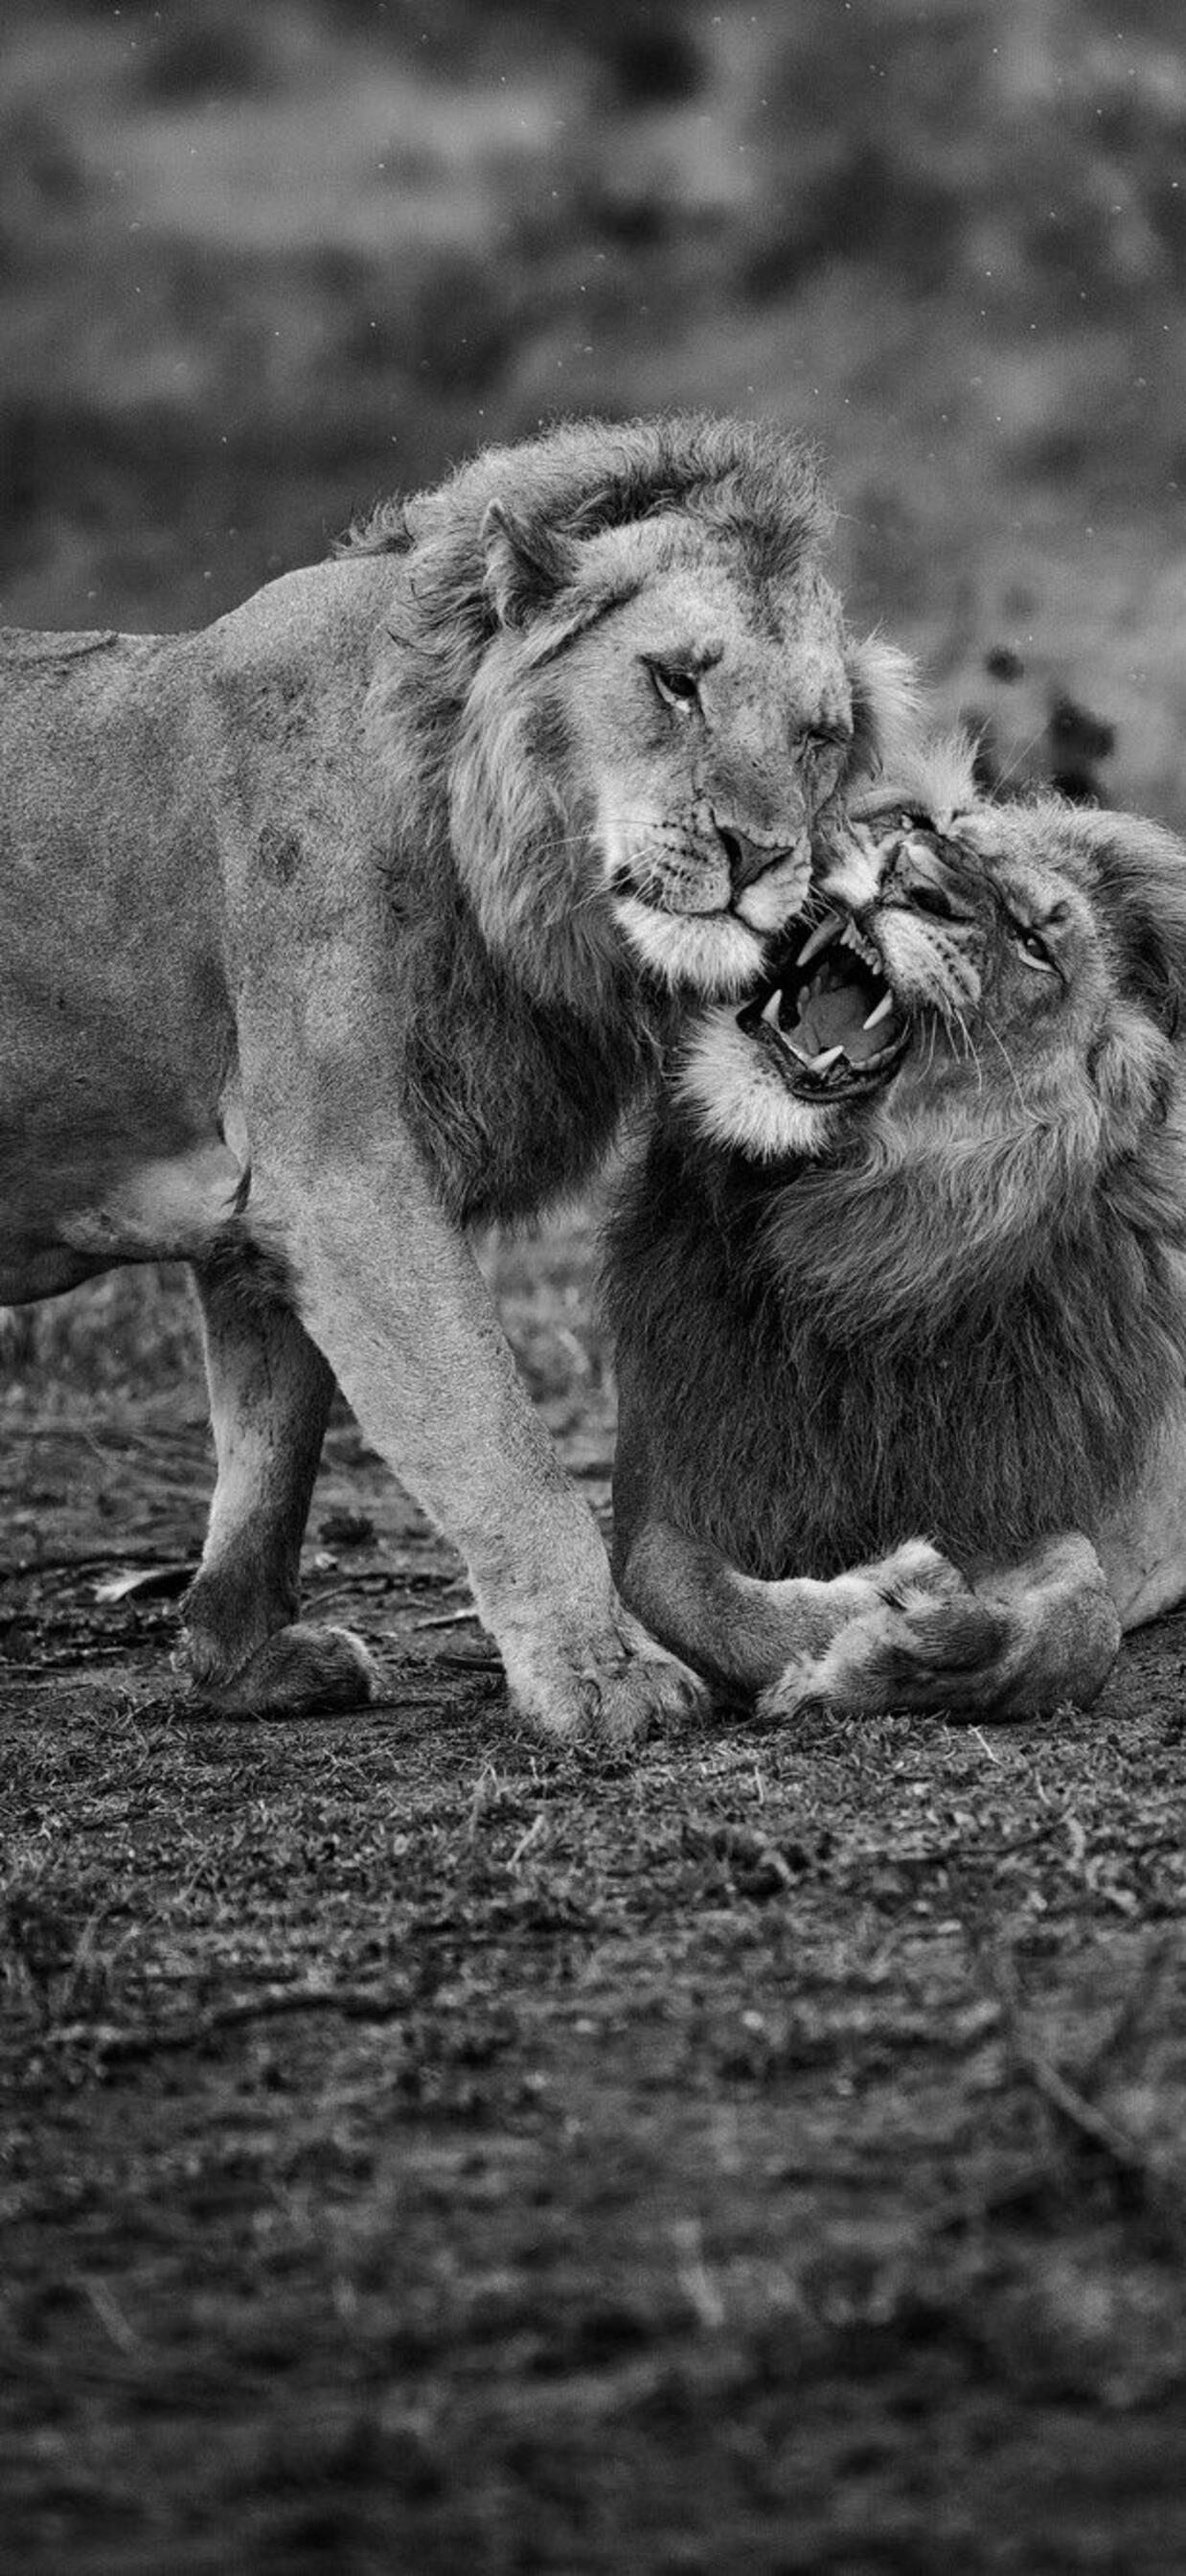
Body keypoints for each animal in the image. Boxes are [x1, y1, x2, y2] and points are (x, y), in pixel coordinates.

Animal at [0, 412, 913, 1736]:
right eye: (674, 680)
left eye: (819, 735)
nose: (759, 856)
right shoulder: (346, 1176)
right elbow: (496, 1441)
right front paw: (603, 1674)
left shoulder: (263, 1211)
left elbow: (270, 1454)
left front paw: (239, 1662)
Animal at [606, 744, 1186, 1720]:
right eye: (923, 827)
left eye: (1035, 944)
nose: (913, 879)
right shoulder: (662, 1490)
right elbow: (689, 1593)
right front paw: (868, 1607)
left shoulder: (1008, 1494)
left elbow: (1081, 1625)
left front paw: (914, 1650)